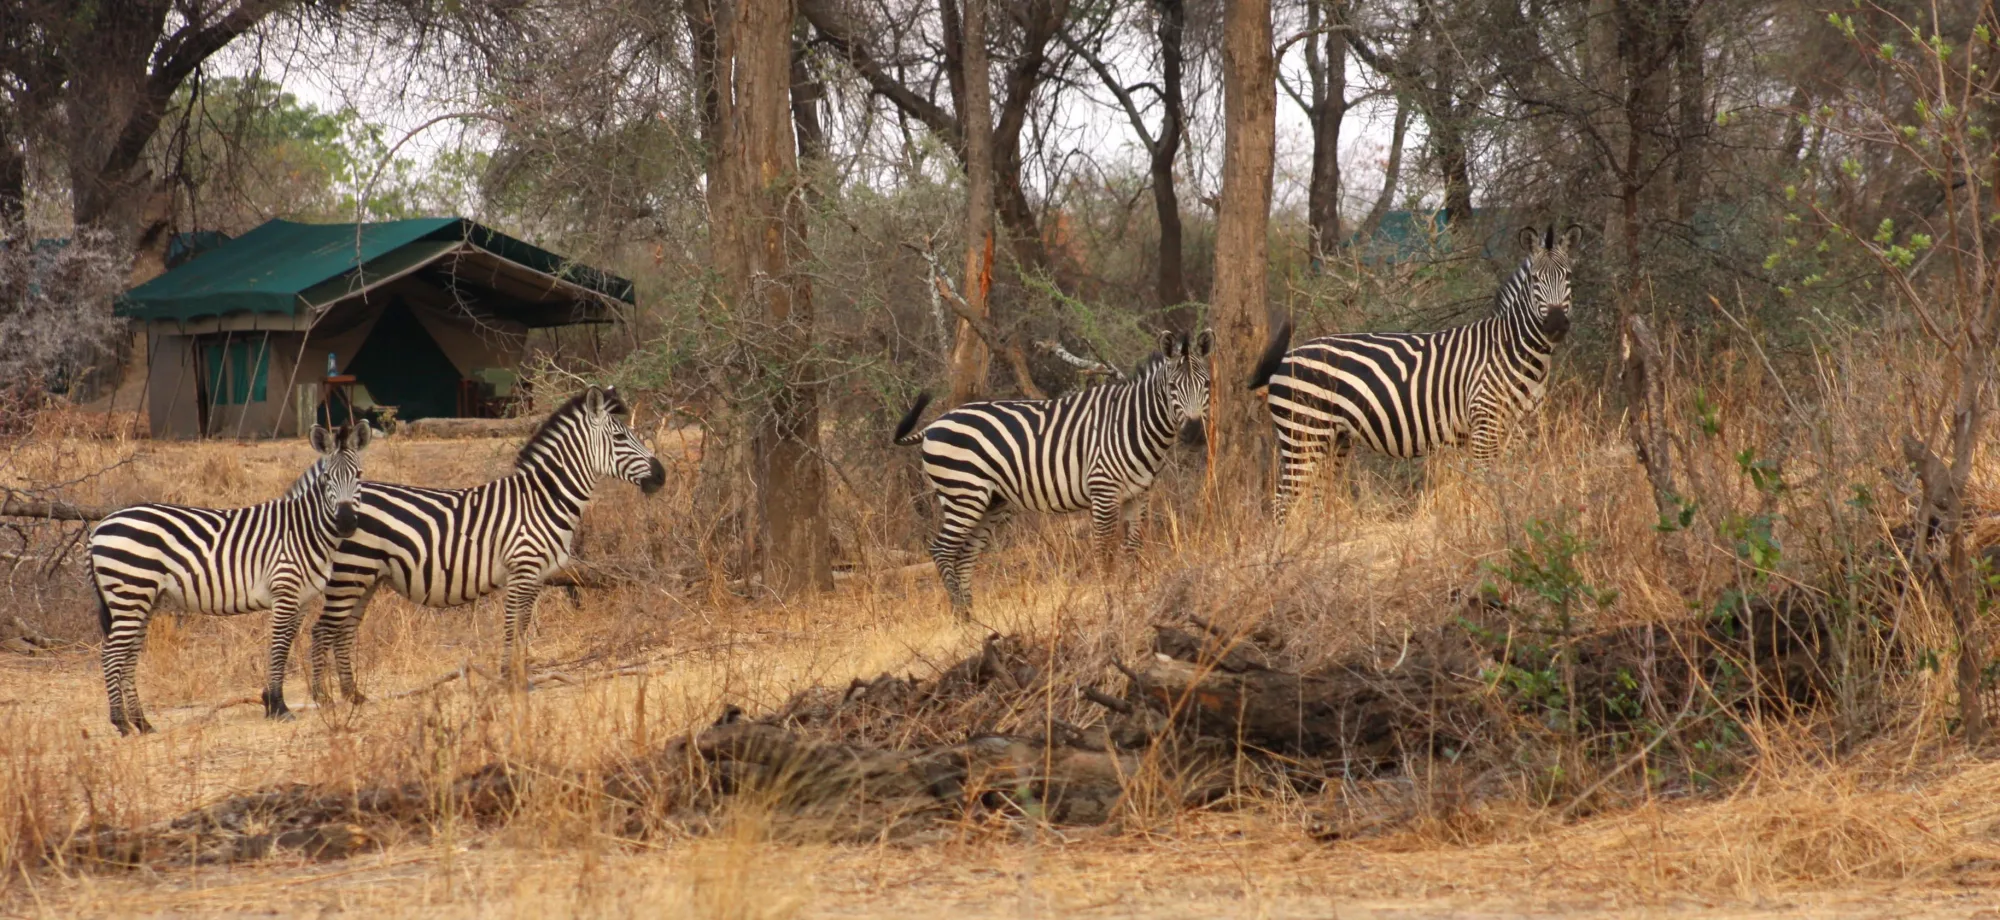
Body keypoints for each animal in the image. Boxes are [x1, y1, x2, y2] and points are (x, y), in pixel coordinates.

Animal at [89, 422, 376, 732]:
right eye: (326, 479)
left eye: (359, 475)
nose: (346, 523)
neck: (302, 530)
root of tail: (100, 526)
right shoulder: (284, 593)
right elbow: (279, 648)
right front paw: (278, 706)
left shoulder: (302, 600)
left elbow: (286, 645)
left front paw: (271, 702)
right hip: (130, 593)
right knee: (111, 654)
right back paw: (121, 723)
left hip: (143, 599)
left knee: (128, 655)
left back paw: (142, 723)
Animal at [304, 382, 664, 704]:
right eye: (621, 438)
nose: (661, 475)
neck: (543, 499)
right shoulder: (522, 570)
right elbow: (511, 626)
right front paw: (508, 679)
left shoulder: (537, 575)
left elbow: (522, 627)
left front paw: (520, 677)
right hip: (350, 573)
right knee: (322, 630)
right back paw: (323, 698)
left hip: (367, 577)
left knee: (344, 630)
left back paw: (353, 695)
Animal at [896, 328, 1208, 616]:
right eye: (1172, 386)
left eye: (1206, 384)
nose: (1195, 435)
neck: (1132, 423)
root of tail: (934, 424)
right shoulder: (1104, 491)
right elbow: (1104, 552)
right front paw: (1110, 603)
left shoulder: (1139, 493)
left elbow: (1133, 548)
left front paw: (1131, 598)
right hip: (964, 492)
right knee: (942, 550)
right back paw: (961, 617)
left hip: (990, 502)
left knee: (964, 556)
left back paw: (974, 622)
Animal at [1240, 224, 1584, 520]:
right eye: (1536, 280)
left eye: (1568, 277)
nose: (1556, 324)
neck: (1514, 350)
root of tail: (1286, 358)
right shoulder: (1484, 423)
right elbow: (1486, 482)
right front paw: (1490, 523)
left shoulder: (1520, 426)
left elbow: (1512, 480)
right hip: (1303, 432)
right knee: (1284, 500)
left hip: (1335, 439)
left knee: (1314, 494)